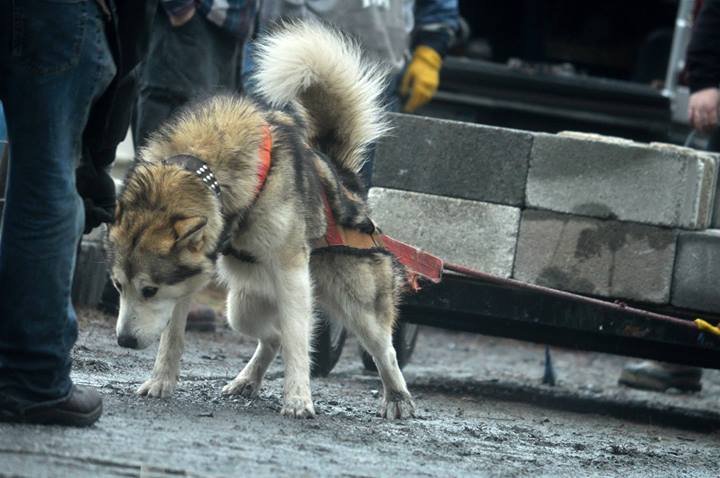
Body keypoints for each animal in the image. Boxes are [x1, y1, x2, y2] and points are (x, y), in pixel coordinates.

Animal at [105, 22, 414, 418]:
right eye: (118, 287)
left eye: (149, 290)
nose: (124, 341)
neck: (205, 166)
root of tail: (342, 178)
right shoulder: (188, 282)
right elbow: (172, 337)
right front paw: (161, 381)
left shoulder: (292, 272)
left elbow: (298, 340)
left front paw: (298, 398)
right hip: (242, 306)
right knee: (272, 336)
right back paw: (248, 379)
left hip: (358, 306)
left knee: (381, 349)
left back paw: (398, 396)